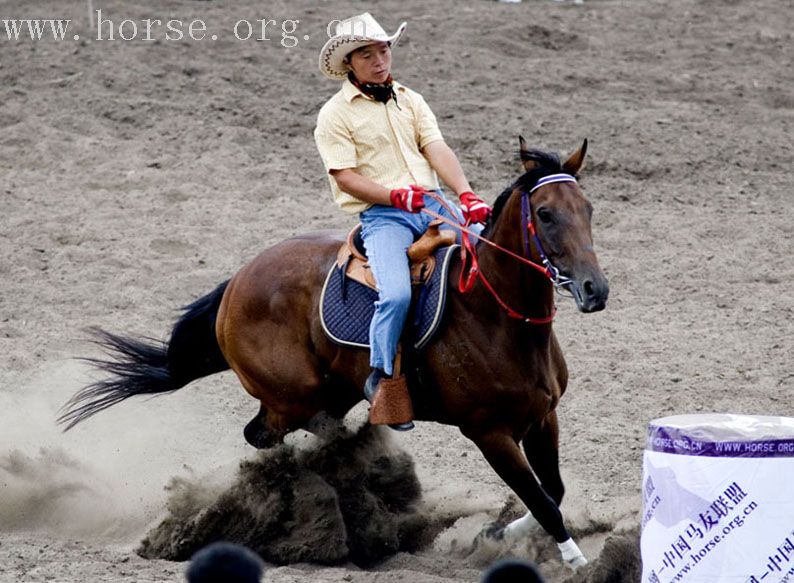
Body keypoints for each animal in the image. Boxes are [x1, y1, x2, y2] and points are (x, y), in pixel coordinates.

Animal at [60, 139, 608, 568]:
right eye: (544, 214)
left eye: (589, 209)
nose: (594, 289)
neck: (493, 316)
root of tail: (237, 281)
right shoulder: (488, 431)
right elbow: (542, 500)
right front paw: (573, 561)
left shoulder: (543, 417)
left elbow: (551, 493)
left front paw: (495, 533)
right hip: (292, 399)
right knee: (266, 438)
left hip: (329, 395)